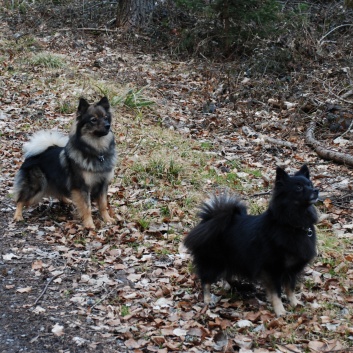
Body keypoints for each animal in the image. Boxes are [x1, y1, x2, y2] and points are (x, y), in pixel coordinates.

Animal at [183, 164, 318, 314]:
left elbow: (290, 288)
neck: (292, 224)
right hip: (214, 261)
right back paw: (208, 300)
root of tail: (210, 219)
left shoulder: (292, 268)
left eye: (310, 184)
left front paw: (294, 303)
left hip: (233, 258)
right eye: (298, 187)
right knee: (206, 281)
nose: (316, 190)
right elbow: (276, 292)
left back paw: (240, 287)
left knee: (227, 275)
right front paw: (280, 311)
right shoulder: (272, 269)